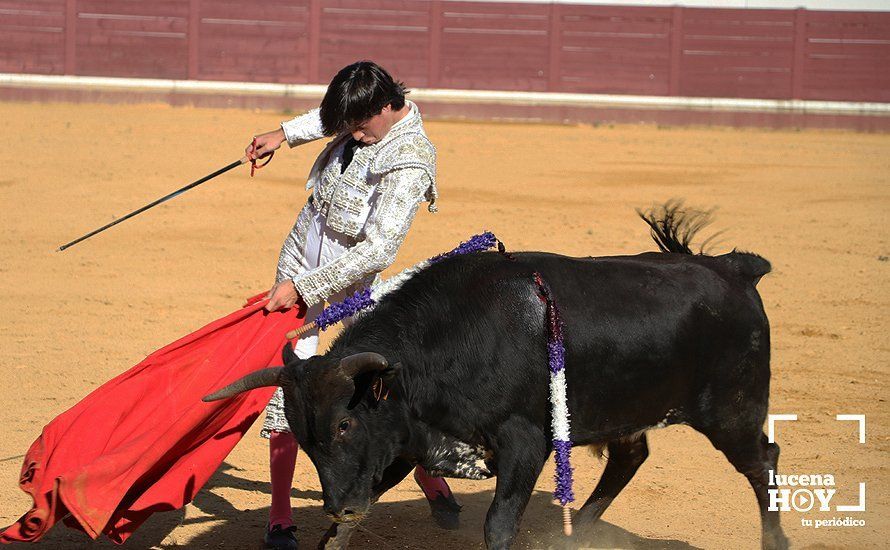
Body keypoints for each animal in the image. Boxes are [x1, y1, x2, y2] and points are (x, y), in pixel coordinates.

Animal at [206, 209, 784, 548]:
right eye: (305, 437)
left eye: (345, 425)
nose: (339, 501)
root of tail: (733, 270)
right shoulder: (401, 443)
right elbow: (340, 532)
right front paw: (339, 523)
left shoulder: (525, 442)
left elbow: (499, 526)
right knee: (630, 457)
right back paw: (571, 538)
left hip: (732, 411)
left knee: (763, 463)